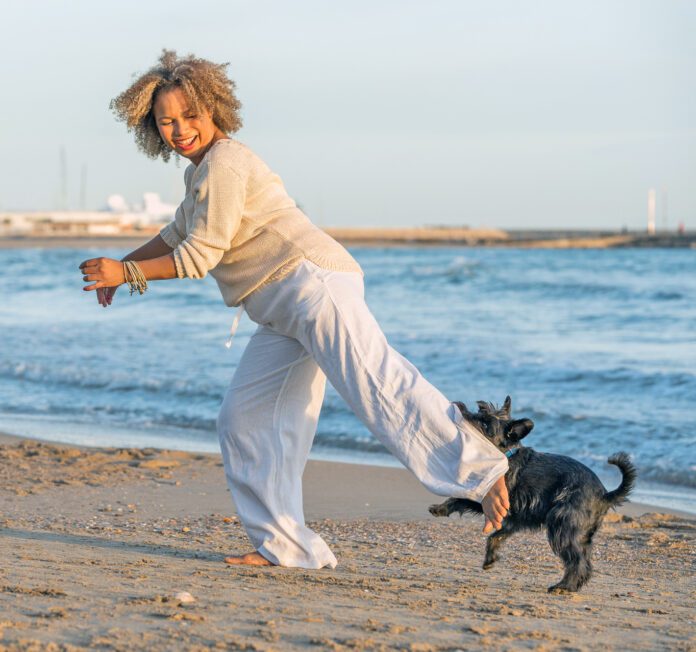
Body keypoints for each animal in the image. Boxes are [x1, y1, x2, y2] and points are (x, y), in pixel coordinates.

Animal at [430, 394, 636, 592]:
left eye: (486, 425)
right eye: (479, 410)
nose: (460, 408)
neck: (503, 455)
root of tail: (604, 495)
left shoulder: (492, 498)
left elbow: (460, 498)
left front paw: (440, 509)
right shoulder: (514, 517)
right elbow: (496, 536)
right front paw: (490, 558)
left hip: (563, 525)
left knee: (577, 560)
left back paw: (564, 586)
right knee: (584, 561)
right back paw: (572, 586)